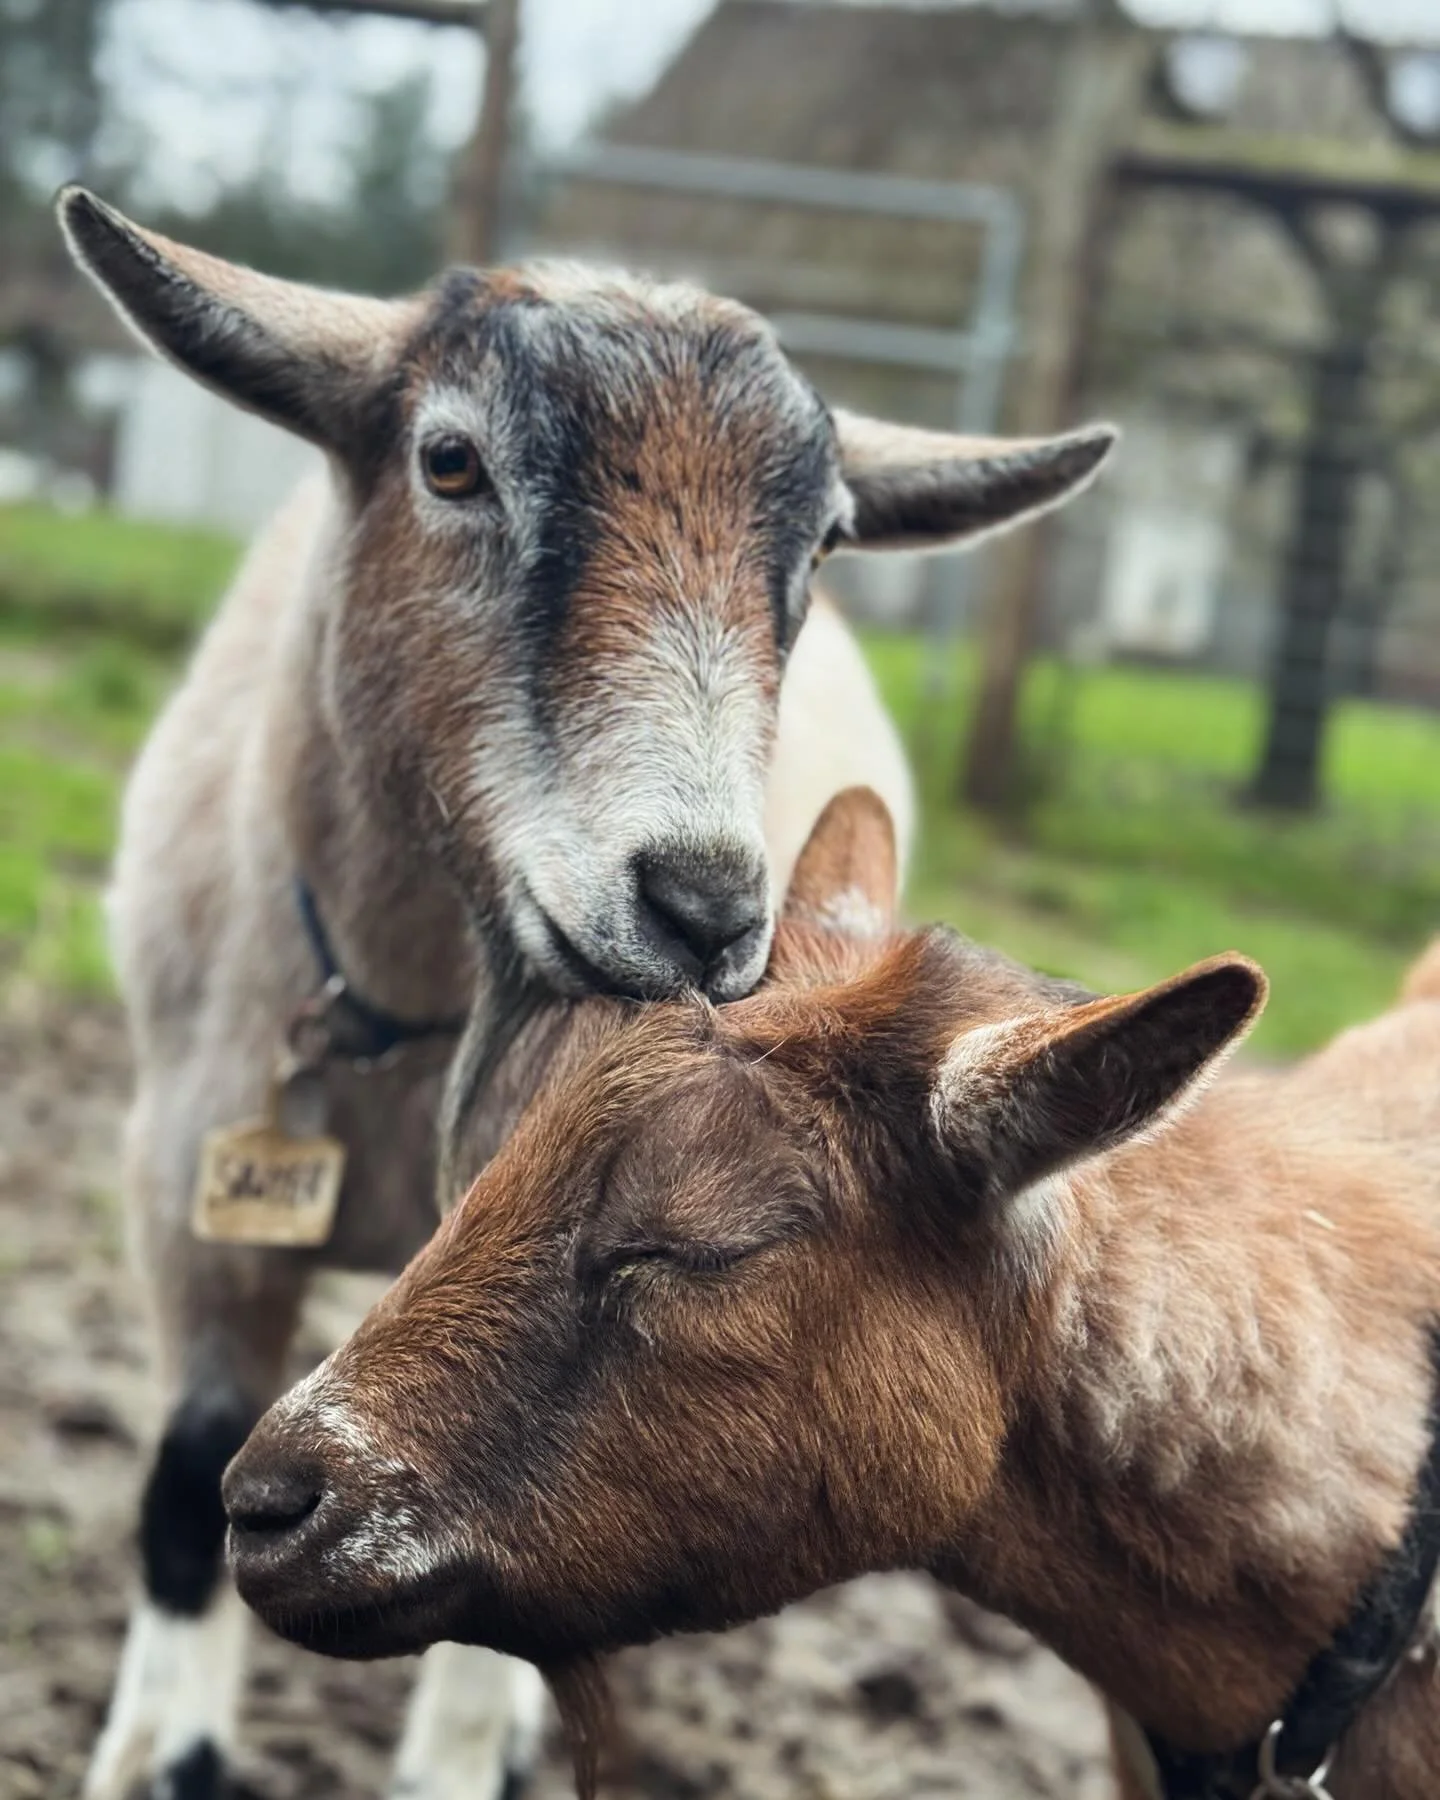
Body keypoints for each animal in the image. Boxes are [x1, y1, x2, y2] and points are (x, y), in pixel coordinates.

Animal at [59, 188, 1116, 1800]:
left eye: (825, 543)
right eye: (449, 460)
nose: (705, 905)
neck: (413, 1024)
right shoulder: (185, 1183)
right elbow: (187, 1481)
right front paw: (158, 1750)